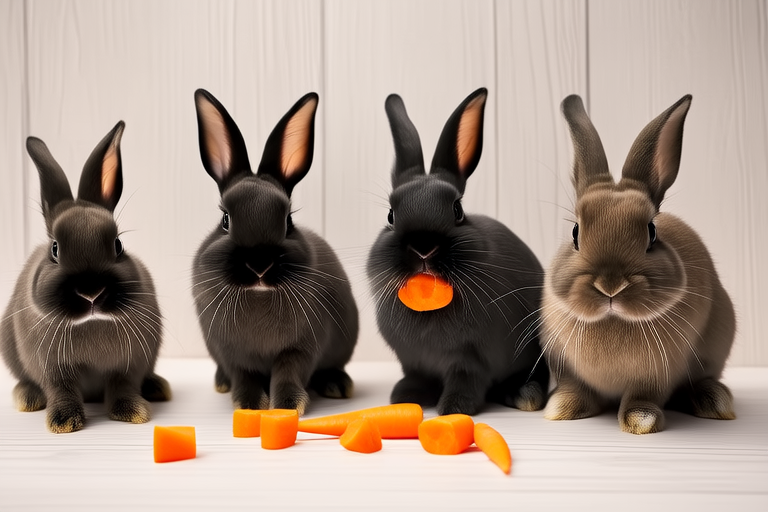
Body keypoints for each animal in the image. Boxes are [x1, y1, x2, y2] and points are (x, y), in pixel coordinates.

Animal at [0, 122, 171, 434]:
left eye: (118, 245)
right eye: (54, 249)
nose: (91, 292)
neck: (92, 323)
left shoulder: (130, 364)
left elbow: (123, 387)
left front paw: (133, 412)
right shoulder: (53, 368)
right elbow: (62, 390)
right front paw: (64, 422)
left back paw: (156, 388)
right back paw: (28, 397)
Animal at [192, 89, 358, 415]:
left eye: (288, 221)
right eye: (225, 220)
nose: (259, 265)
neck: (258, 294)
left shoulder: (302, 346)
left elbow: (288, 372)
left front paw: (287, 407)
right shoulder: (230, 351)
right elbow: (243, 375)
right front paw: (249, 406)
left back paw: (337, 384)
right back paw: (221, 383)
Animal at [367, 88, 549, 416]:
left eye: (458, 210)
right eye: (390, 215)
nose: (423, 248)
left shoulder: (472, 357)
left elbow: (466, 381)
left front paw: (453, 408)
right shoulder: (413, 360)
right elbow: (417, 377)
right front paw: (405, 397)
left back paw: (524, 395)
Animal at [541, 94, 736, 434]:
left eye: (652, 232)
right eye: (575, 232)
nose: (610, 286)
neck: (612, 320)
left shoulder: (658, 373)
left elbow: (642, 396)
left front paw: (642, 420)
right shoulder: (568, 368)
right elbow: (577, 390)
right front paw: (561, 408)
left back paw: (714, 400)